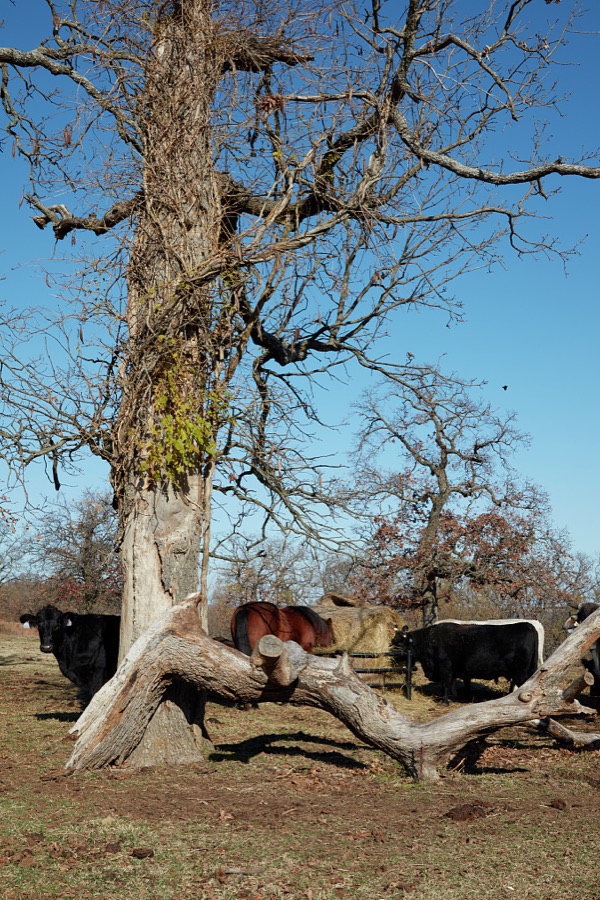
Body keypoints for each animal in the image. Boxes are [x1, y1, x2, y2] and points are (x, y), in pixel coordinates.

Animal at [393, 620, 540, 703]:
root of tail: (528, 625)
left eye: (398, 644)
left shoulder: (445, 666)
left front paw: (445, 701)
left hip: (520, 672)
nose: (391, 658)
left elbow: (446, 683)